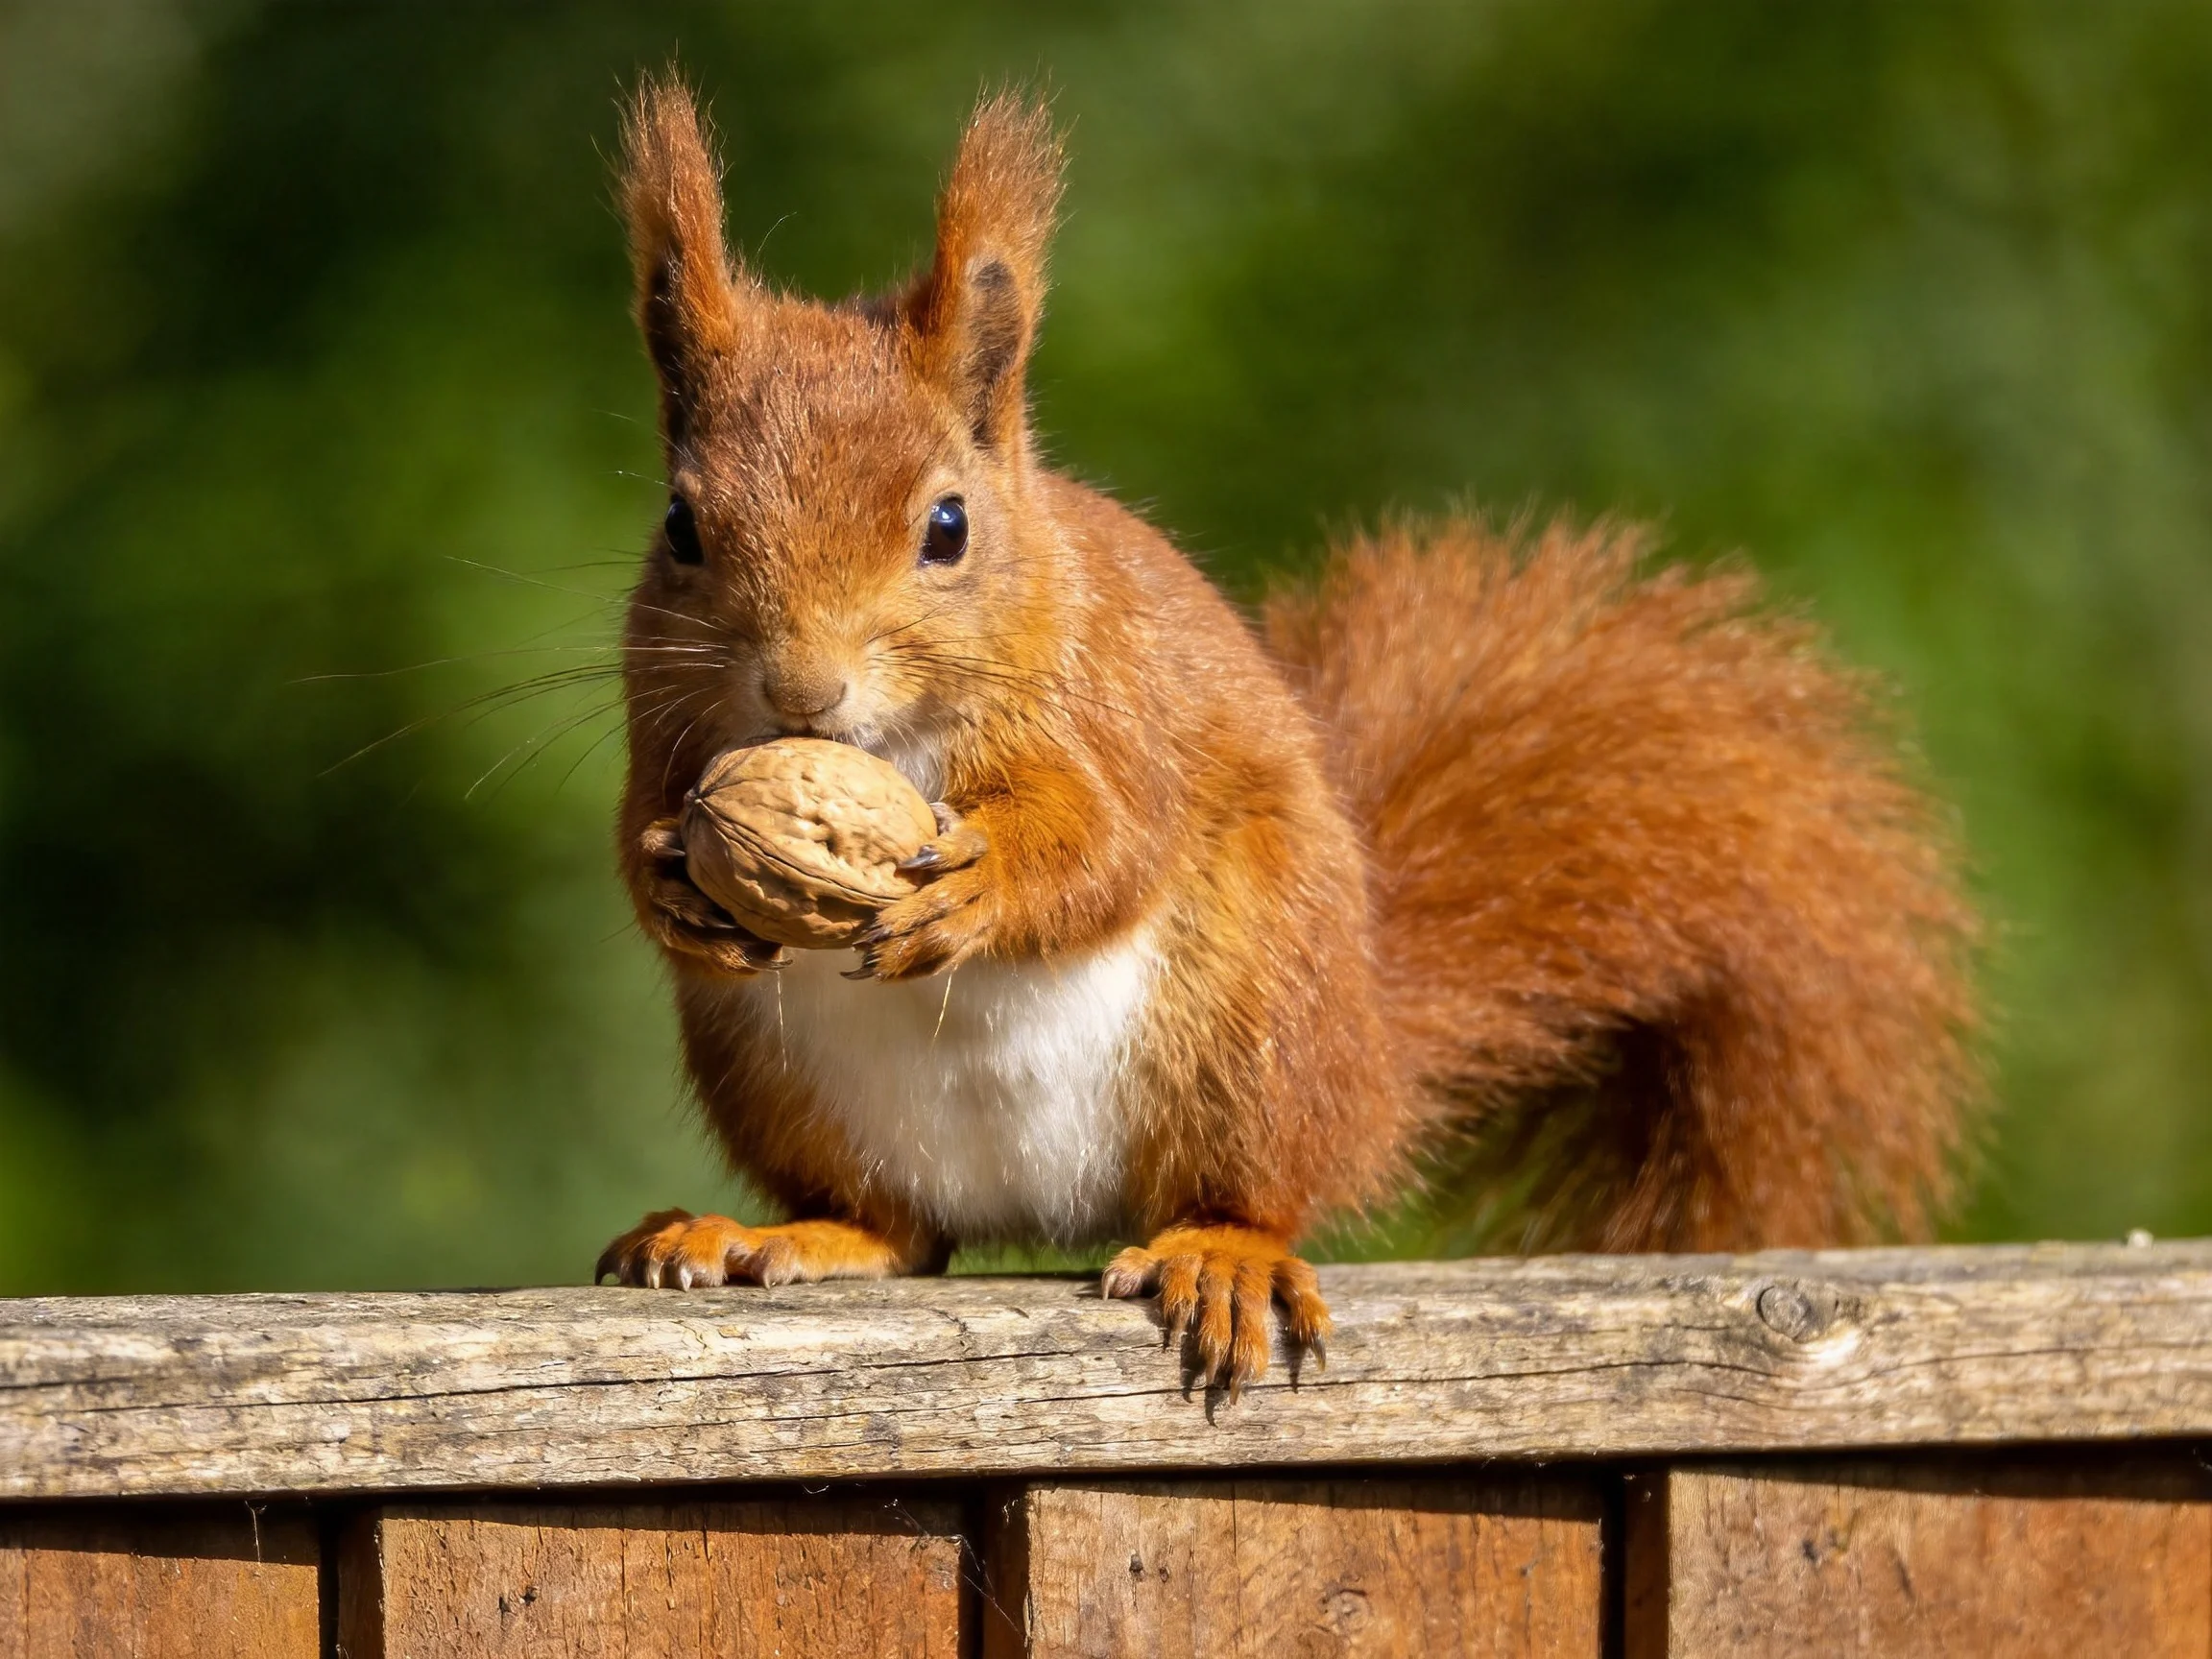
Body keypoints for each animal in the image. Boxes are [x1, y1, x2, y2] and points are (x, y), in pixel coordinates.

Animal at [594, 76, 1979, 1394]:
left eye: (948, 527)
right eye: (680, 526)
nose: (803, 692)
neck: (893, 744)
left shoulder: (1117, 705)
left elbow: (1109, 843)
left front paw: (983, 881)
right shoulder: (663, 726)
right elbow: (639, 823)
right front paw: (674, 882)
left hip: (1253, 1022)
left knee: (1249, 1190)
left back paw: (1223, 1255)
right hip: (780, 1082)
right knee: (900, 1228)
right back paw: (768, 1233)